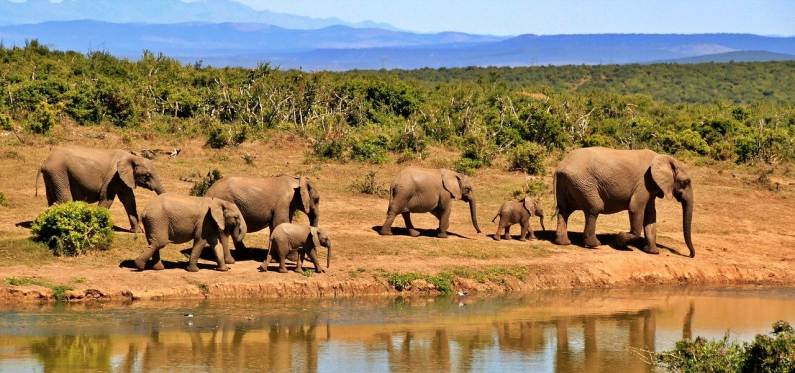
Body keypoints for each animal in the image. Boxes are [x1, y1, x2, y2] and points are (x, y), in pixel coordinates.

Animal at [39, 147, 167, 231]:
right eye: (147, 176)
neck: (132, 157)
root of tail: (44, 162)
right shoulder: (113, 177)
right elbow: (107, 199)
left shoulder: (123, 178)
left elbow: (129, 200)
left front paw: (137, 231)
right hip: (59, 172)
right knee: (64, 198)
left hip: (52, 175)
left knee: (52, 199)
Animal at [552, 145, 696, 256]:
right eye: (685, 182)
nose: (690, 255)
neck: (663, 158)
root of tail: (560, 167)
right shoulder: (644, 183)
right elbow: (635, 208)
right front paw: (619, 241)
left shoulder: (651, 186)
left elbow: (651, 215)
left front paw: (653, 252)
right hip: (583, 183)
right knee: (594, 208)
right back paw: (595, 244)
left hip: (570, 183)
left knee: (564, 211)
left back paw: (564, 243)